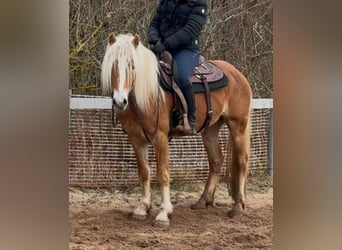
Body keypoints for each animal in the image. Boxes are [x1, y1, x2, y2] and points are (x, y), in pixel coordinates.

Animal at [100, 32, 252, 227]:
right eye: (112, 66)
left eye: (132, 66)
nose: (120, 101)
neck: (147, 94)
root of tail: (237, 74)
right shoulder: (136, 139)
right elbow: (143, 172)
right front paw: (143, 208)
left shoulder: (160, 137)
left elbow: (162, 173)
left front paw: (164, 213)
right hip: (210, 129)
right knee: (216, 160)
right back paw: (203, 201)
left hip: (237, 124)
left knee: (242, 161)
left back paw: (237, 208)